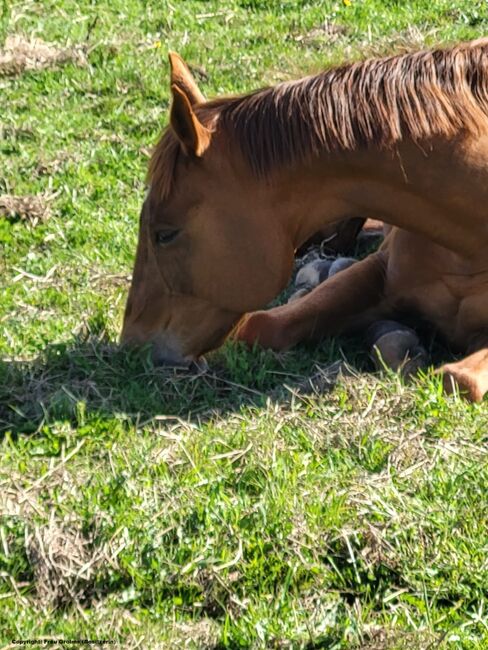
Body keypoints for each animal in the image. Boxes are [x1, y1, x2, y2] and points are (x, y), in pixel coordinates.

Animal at [121, 40, 488, 400]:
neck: (466, 249)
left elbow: (459, 380)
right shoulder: (378, 271)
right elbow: (260, 325)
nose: (132, 344)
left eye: (165, 234)